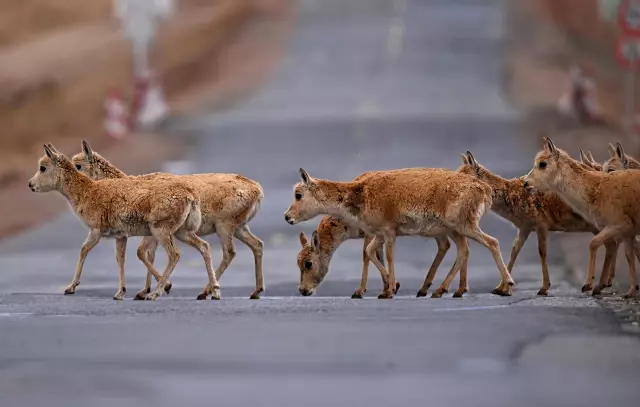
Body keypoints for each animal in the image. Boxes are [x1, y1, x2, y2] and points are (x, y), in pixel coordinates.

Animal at [28, 143, 221, 300]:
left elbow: (84, 250)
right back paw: (214, 291)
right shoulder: (120, 236)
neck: (88, 191)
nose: (30, 185)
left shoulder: (96, 231)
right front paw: (120, 292)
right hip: (181, 232)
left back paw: (156, 293)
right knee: (204, 246)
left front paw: (70, 288)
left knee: (174, 254)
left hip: (162, 231)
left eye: (42, 167)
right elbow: (120, 259)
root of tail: (190, 196)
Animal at [72, 142, 264, 302]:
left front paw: (156, 289)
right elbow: (148, 254)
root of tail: (257, 189)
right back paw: (254, 291)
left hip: (224, 226)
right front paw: (146, 291)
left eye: (78, 165)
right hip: (239, 227)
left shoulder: (153, 232)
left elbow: (142, 253)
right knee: (257, 245)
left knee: (229, 252)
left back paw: (207, 291)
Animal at [282, 167, 512, 298]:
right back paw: (442, 290)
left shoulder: (387, 231)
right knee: (463, 250)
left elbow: (383, 255)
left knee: (491, 242)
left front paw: (384, 290)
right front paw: (388, 288)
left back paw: (504, 287)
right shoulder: (379, 234)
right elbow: (371, 253)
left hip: (463, 226)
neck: (360, 194)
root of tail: (485, 190)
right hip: (455, 230)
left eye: (308, 263)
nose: (287, 216)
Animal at [458, 150, 616, 296]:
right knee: (610, 244)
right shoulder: (525, 226)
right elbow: (514, 250)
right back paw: (604, 283)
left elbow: (542, 252)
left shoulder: (541, 222)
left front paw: (543, 288)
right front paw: (501, 288)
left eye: (466, 175)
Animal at [524, 137, 640, 300]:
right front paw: (629, 292)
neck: (597, 190)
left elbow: (594, 243)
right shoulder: (628, 231)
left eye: (542, 163)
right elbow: (629, 255)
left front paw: (587, 285)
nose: (526, 183)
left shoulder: (620, 224)